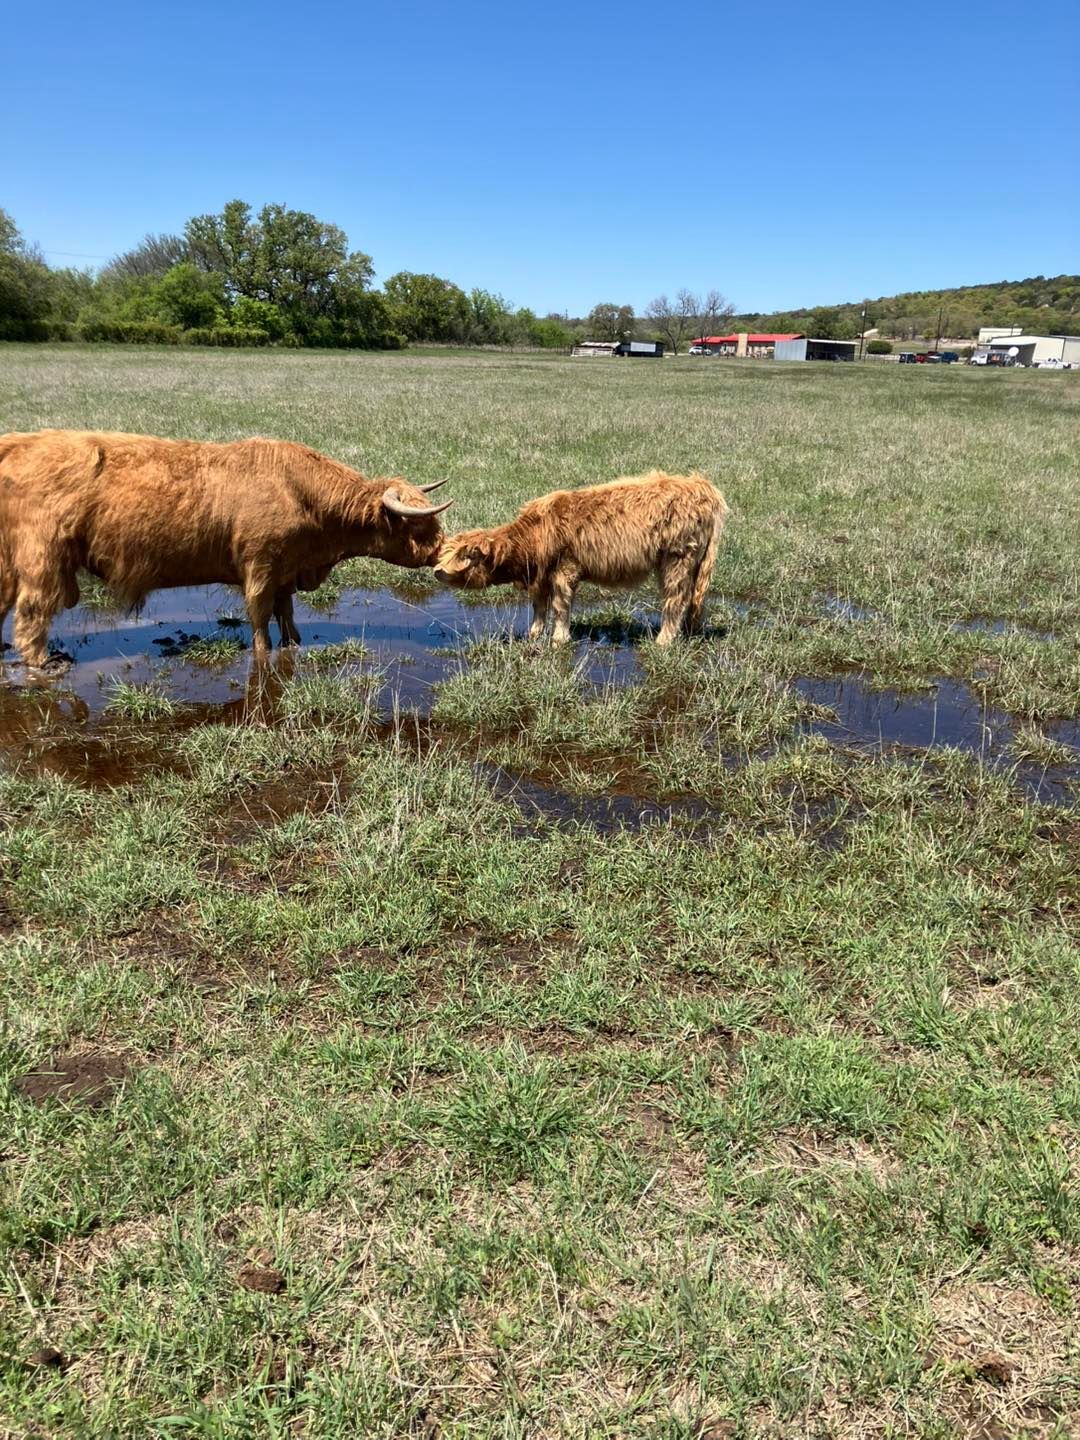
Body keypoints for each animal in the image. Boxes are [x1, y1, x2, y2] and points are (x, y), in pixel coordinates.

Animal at [0, 429, 453, 668]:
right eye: (420, 523)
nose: (441, 550)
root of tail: (19, 442)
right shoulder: (260, 565)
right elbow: (260, 615)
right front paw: (264, 654)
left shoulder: (286, 568)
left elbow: (286, 610)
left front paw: (294, 642)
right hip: (43, 558)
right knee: (33, 611)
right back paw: (43, 665)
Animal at [433, 471, 728, 645]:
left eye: (464, 556)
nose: (436, 571)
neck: (534, 535)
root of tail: (701, 486)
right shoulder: (541, 575)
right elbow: (539, 606)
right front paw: (534, 633)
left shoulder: (565, 570)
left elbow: (560, 605)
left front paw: (559, 639)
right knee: (692, 598)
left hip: (678, 559)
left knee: (676, 599)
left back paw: (663, 640)